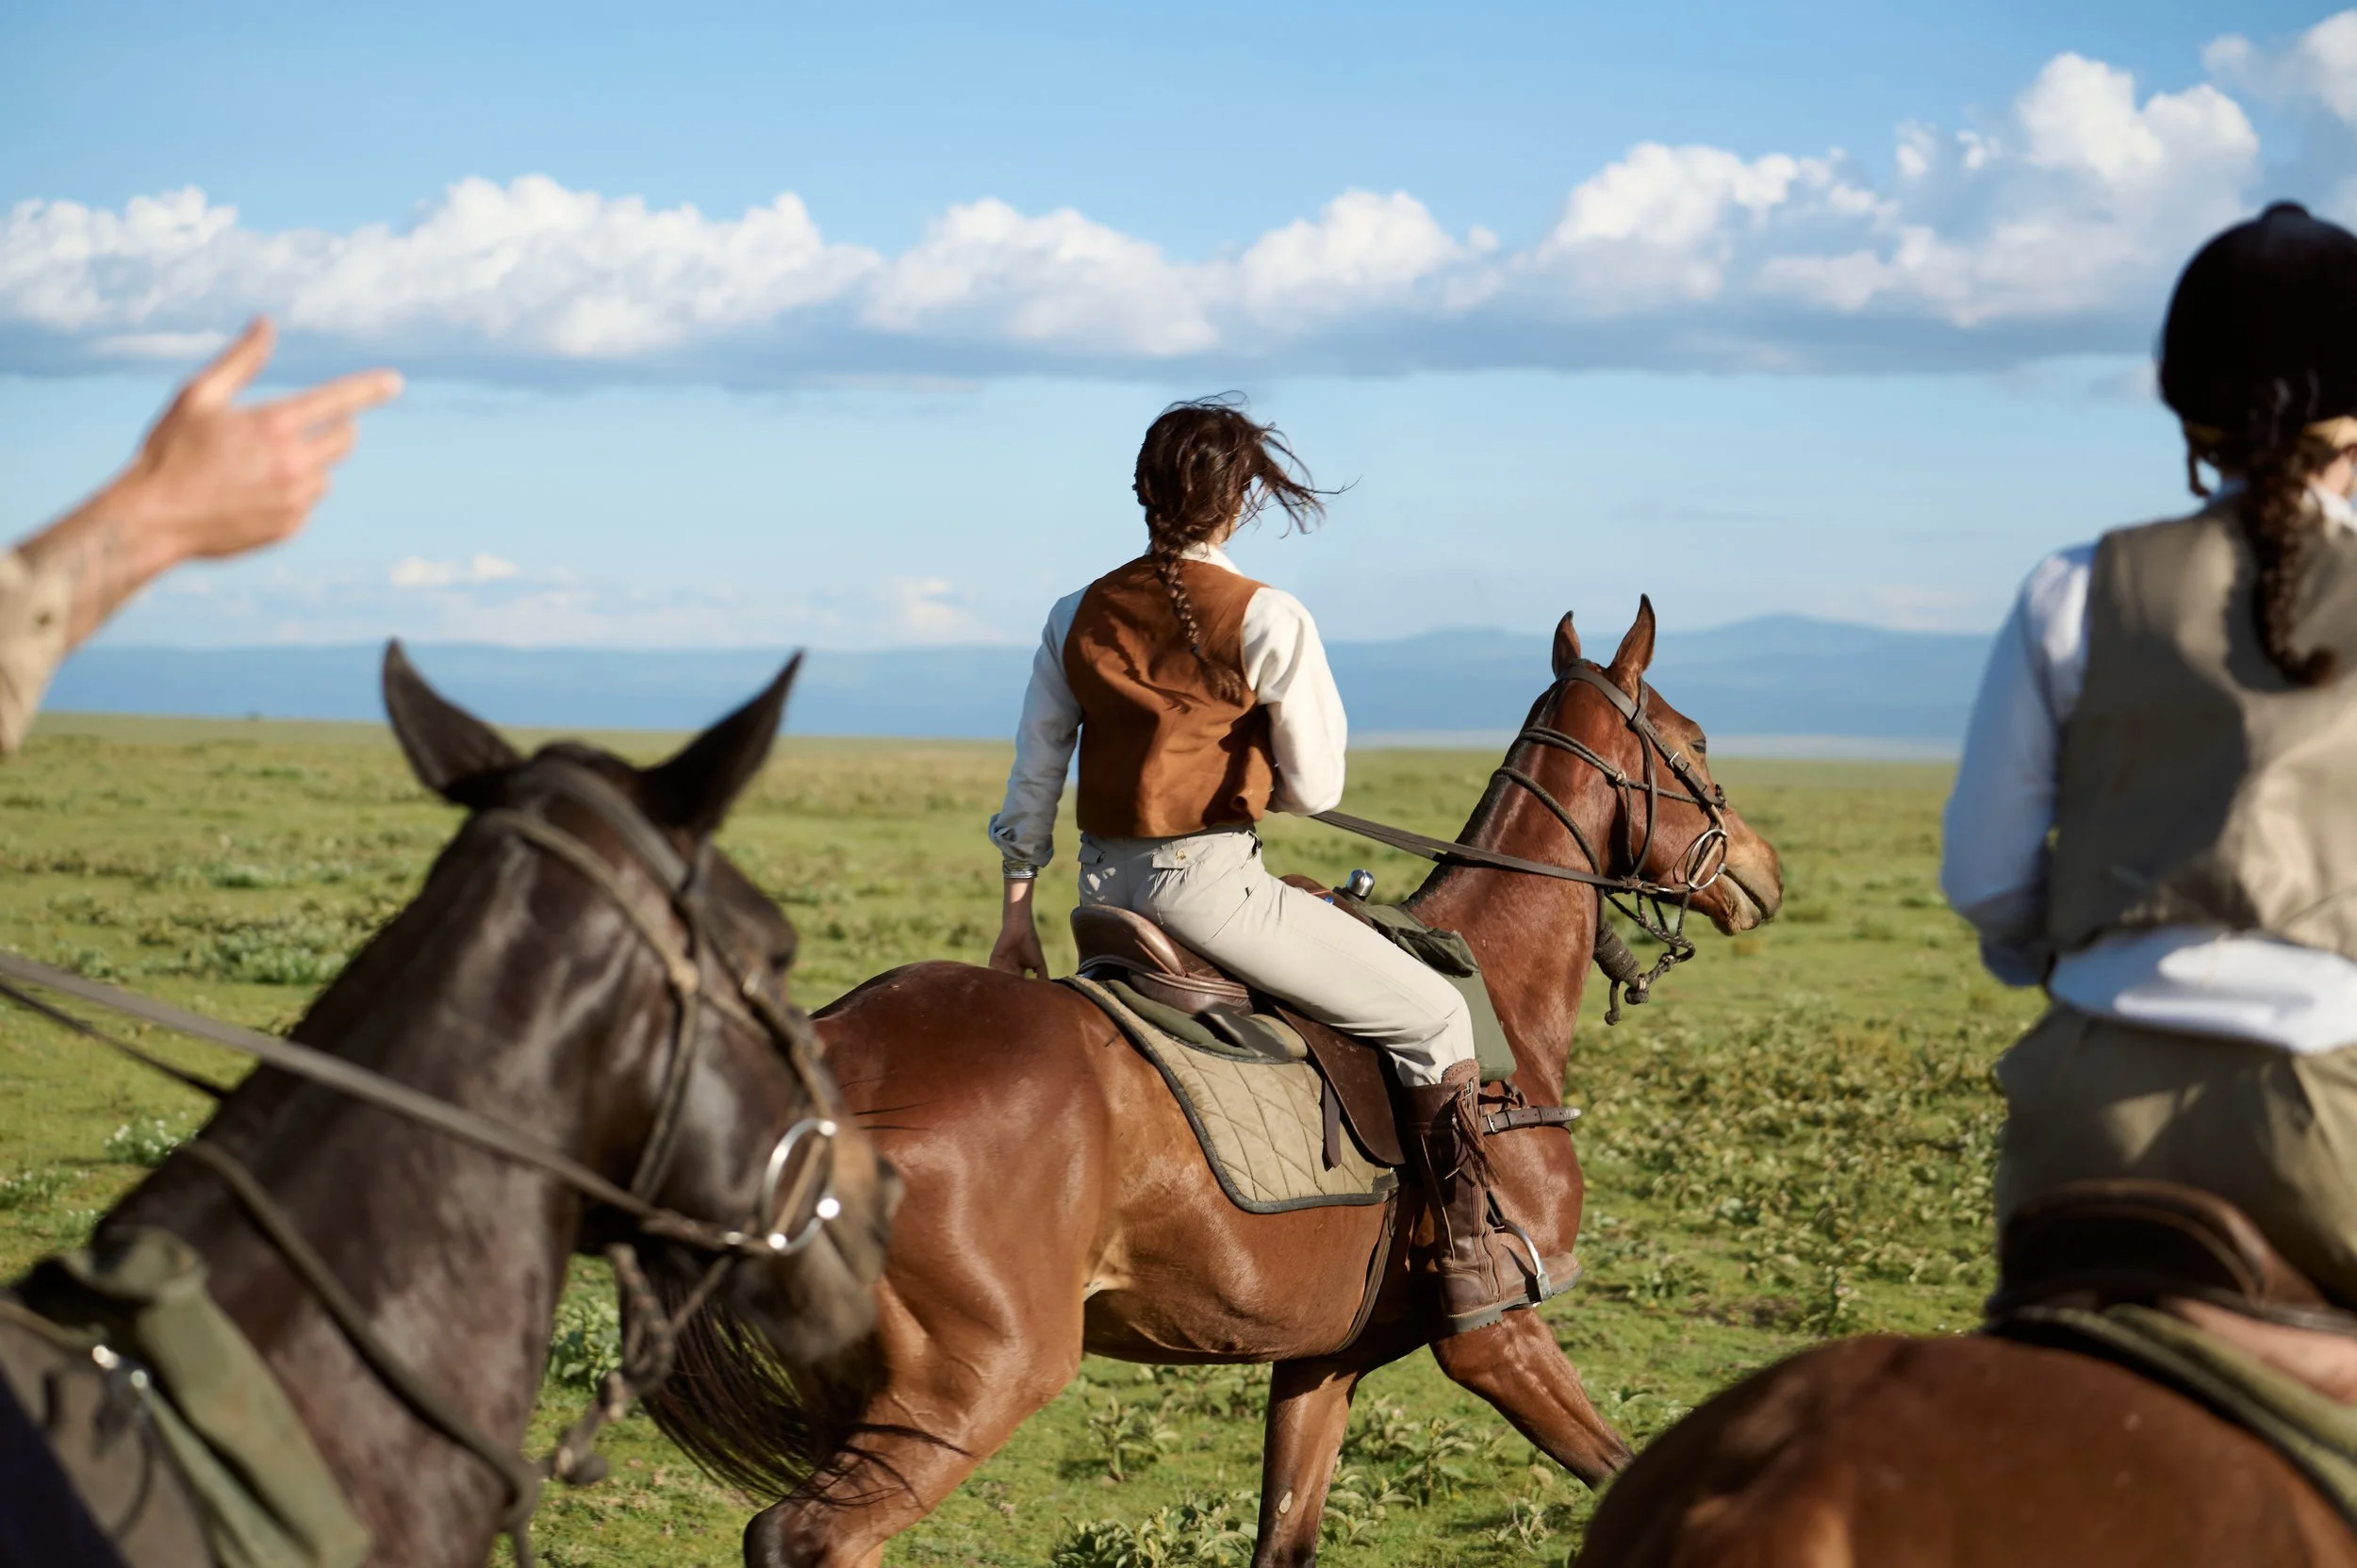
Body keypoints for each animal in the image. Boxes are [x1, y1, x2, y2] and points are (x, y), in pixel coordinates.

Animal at [710, 598, 1783, 1568]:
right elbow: (1627, 1469)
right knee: (801, 1535)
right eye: (1694, 740)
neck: (1498, 989)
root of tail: (832, 1045)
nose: (1765, 868)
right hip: (976, 1378)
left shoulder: (1324, 1358)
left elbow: (1285, 1539)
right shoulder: (1495, 1334)